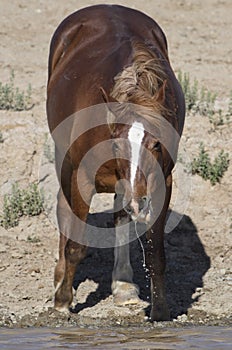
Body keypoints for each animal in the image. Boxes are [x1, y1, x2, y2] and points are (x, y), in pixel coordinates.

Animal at [46, 4, 185, 322]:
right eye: (116, 144)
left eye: (156, 144)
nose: (139, 201)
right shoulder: (82, 178)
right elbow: (75, 245)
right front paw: (63, 301)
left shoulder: (161, 182)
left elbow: (155, 252)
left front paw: (160, 311)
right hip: (64, 157)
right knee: (64, 208)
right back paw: (59, 278)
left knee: (121, 215)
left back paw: (123, 286)